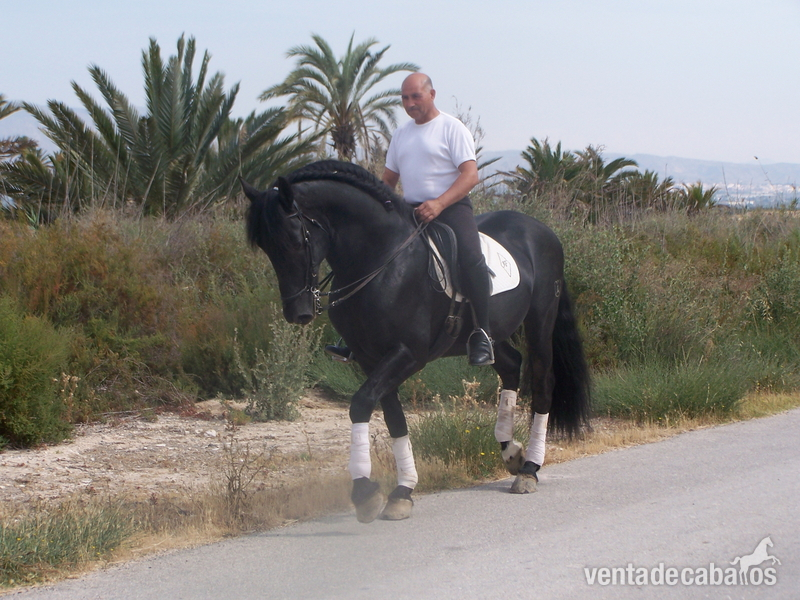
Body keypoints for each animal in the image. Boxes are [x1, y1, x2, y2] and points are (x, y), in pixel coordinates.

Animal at [243, 160, 590, 523]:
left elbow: (361, 404)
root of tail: (542, 230)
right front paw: (402, 491)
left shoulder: (408, 354)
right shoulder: (371, 357)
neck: (381, 259)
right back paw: (511, 452)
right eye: (266, 247)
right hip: (490, 334)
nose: (298, 313)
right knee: (510, 366)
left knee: (542, 381)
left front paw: (365, 492)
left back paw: (529, 469)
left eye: (295, 240)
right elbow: (393, 416)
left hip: (540, 322)